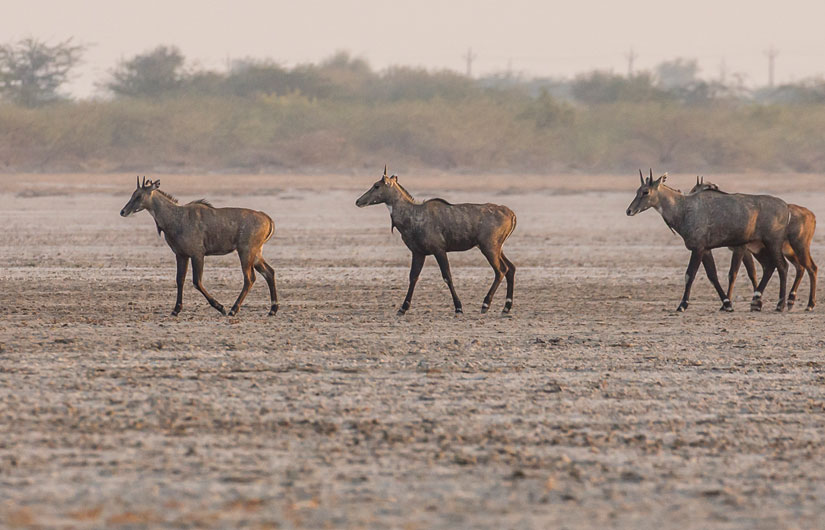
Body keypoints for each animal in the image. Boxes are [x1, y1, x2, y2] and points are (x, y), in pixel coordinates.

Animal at [120, 177, 278, 318]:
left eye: (139, 195)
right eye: (133, 193)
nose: (123, 211)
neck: (175, 218)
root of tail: (268, 219)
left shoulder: (197, 254)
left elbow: (197, 282)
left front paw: (220, 307)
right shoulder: (181, 254)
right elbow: (180, 280)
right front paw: (175, 310)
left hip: (246, 251)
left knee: (249, 278)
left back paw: (233, 310)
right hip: (256, 253)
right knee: (269, 272)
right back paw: (272, 310)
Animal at [354, 165, 516, 314]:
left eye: (376, 185)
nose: (358, 201)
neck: (412, 215)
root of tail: (511, 214)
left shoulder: (439, 250)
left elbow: (447, 276)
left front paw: (458, 307)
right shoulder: (418, 252)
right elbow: (413, 277)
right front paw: (403, 308)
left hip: (488, 247)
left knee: (501, 270)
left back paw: (485, 305)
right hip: (497, 247)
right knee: (511, 268)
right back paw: (506, 307)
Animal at [624, 168, 792, 310]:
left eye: (645, 191)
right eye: (637, 190)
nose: (629, 211)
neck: (683, 208)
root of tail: (786, 207)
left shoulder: (698, 248)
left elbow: (689, 275)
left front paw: (682, 305)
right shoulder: (705, 249)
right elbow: (712, 276)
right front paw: (727, 304)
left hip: (772, 242)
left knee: (782, 266)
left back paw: (780, 305)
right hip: (761, 246)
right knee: (770, 266)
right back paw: (757, 301)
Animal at [688, 177, 816, 310]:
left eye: (697, 189)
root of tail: (810, 214)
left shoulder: (741, 248)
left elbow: (733, 274)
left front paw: (728, 304)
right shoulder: (748, 251)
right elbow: (753, 273)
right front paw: (757, 301)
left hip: (798, 247)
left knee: (811, 268)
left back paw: (809, 304)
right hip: (785, 251)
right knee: (799, 267)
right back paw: (791, 300)